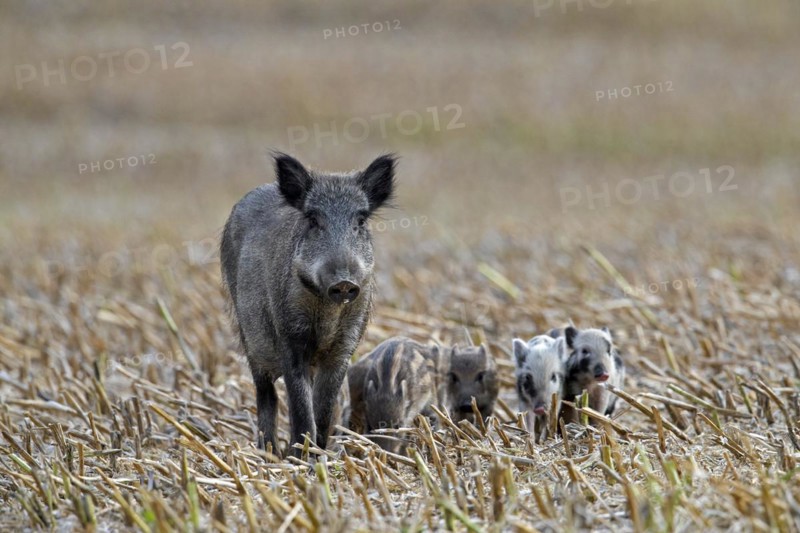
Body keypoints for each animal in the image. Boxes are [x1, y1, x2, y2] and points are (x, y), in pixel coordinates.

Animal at [220, 153, 396, 456]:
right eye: (313, 219)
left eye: (361, 220)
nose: (343, 282)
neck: (327, 311)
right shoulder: (289, 338)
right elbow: (300, 406)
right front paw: (298, 457)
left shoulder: (344, 346)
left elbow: (323, 409)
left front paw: (319, 454)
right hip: (250, 339)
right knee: (266, 395)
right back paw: (268, 452)